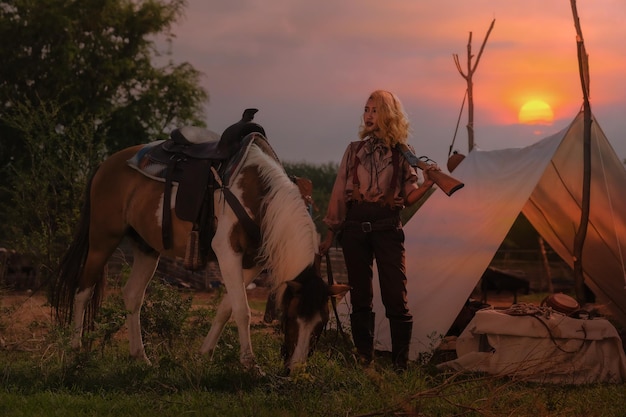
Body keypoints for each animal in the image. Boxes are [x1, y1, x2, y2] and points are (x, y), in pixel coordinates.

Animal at [51, 131, 348, 370]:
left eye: (322, 324)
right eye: (291, 317)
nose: (296, 369)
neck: (259, 195)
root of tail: (105, 165)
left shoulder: (252, 263)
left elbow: (227, 307)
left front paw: (205, 354)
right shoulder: (227, 251)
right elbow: (242, 310)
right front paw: (250, 364)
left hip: (147, 248)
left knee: (132, 295)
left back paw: (140, 357)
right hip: (102, 239)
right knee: (83, 289)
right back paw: (75, 349)